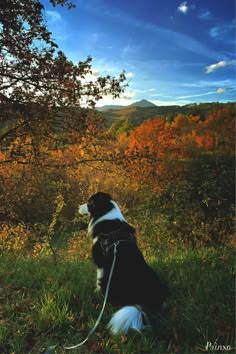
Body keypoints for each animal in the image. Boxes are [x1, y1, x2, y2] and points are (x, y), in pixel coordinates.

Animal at [80, 192, 169, 334]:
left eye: (89, 203)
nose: (79, 207)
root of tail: (146, 300)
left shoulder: (100, 262)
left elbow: (98, 278)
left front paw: (96, 291)